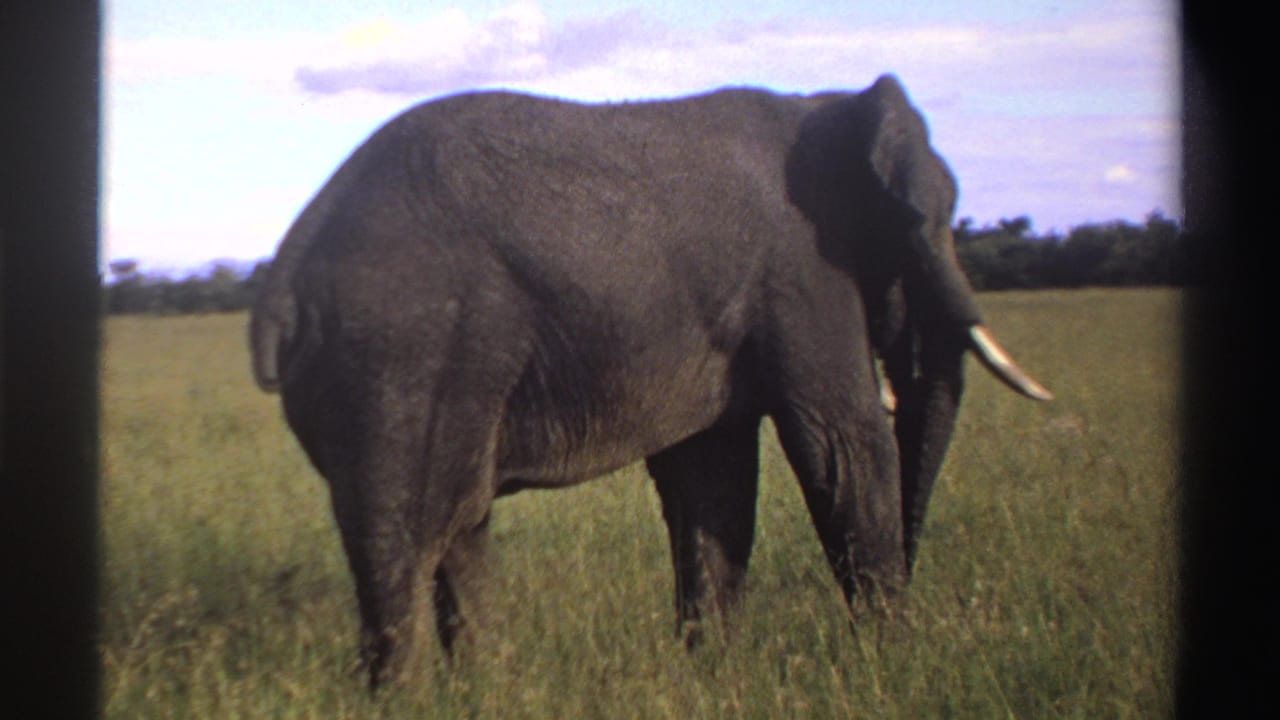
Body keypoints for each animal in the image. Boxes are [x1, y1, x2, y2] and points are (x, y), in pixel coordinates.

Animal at [250, 74, 1051, 688]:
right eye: (924, 223)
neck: (825, 107)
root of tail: (290, 261)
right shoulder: (803, 275)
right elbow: (842, 446)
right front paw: (896, 662)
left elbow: (713, 479)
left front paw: (712, 675)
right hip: (402, 356)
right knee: (410, 542)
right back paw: (407, 697)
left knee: (460, 530)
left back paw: (486, 692)